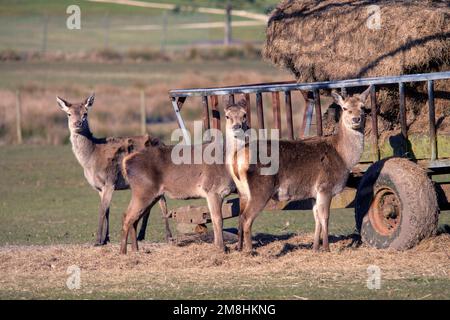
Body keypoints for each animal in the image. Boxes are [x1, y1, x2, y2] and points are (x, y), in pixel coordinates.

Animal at [56, 94, 172, 246]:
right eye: (69, 114)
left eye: (85, 113)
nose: (77, 124)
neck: (91, 159)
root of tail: (163, 144)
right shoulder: (100, 187)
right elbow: (107, 211)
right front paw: (106, 239)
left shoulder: (110, 181)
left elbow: (101, 210)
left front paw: (97, 240)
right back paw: (141, 235)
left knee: (162, 202)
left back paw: (168, 236)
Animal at [230, 86, 370, 254]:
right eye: (345, 108)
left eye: (363, 107)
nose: (356, 119)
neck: (343, 157)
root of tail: (237, 158)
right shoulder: (325, 187)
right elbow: (325, 217)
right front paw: (326, 248)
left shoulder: (314, 193)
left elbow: (317, 218)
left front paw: (315, 248)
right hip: (261, 189)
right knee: (246, 218)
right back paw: (251, 251)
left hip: (242, 191)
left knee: (240, 216)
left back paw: (239, 248)